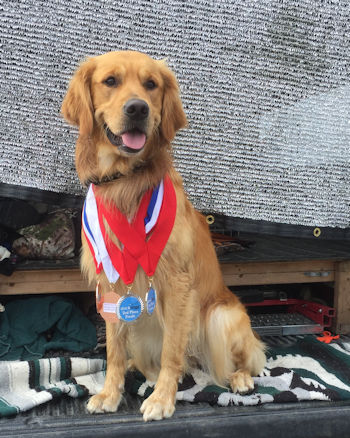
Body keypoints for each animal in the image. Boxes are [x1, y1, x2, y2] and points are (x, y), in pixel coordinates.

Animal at [62, 50, 266, 420]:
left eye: (151, 84)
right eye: (110, 81)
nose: (137, 109)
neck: (125, 182)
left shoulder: (178, 283)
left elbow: (173, 349)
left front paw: (162, 398)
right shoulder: (111, 284)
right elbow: (113, 351)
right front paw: (110, 393)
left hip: (220, 316)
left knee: (244, 359)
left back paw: (239, 378)